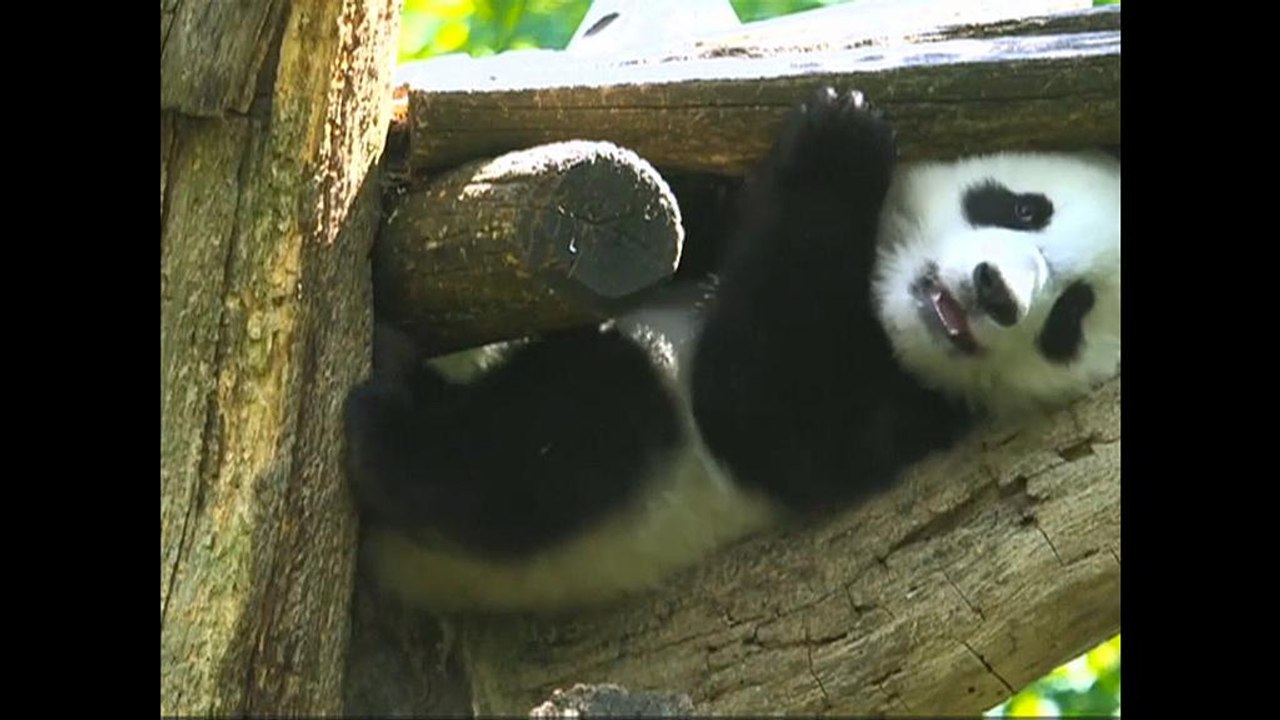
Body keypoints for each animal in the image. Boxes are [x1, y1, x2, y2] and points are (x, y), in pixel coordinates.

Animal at [343, 87, 1121, 614]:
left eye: (1071, 316)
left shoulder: (913, 416)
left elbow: (761, 408)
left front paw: (839, 147)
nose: (996, 293)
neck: (877, 299)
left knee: (580, 429)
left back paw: (392, 425)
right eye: (1025, 207)